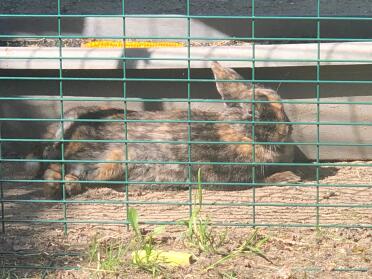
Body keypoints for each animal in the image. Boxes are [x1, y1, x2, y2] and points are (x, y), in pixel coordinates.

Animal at [38, 63, 294, 199]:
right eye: (252, 113)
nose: (287, 130)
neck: (238, 133)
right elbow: (259, 180)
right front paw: (288, 177)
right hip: (107, 160)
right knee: (57, 170)